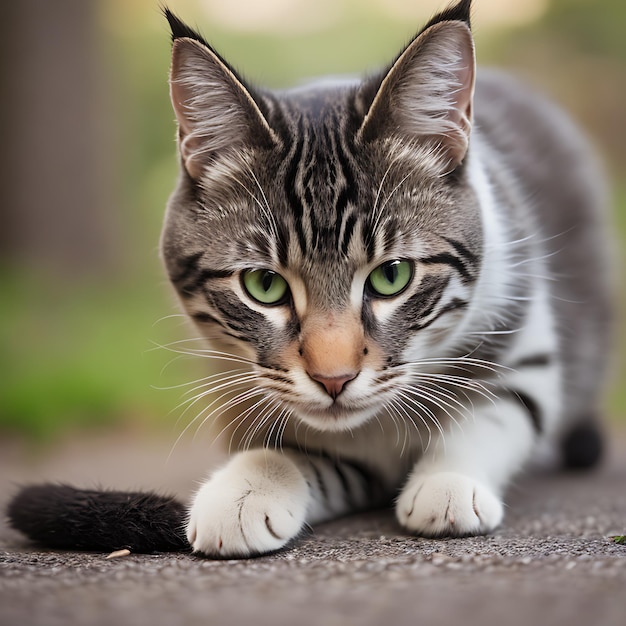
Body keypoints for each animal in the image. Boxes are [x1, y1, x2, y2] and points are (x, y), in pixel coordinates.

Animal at [7, 0, 608, 556]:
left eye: (392, 276)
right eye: (264, 285)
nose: (334, 379)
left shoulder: (525, 339)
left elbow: (494, 415)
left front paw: (447, 482)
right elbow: (290, 452)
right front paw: (247, 491)